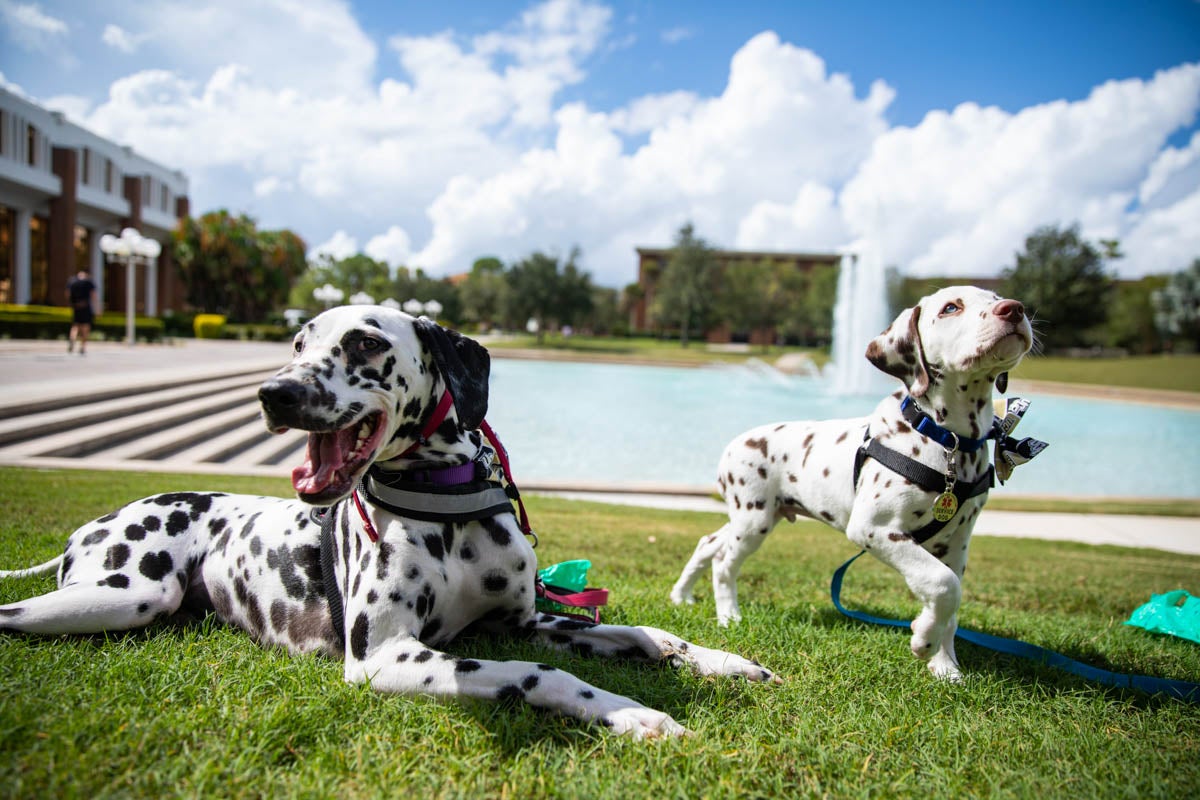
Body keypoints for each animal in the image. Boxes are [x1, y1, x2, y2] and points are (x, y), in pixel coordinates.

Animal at [2, 304, 777, 738]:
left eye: (365, 343)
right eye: (296, 343)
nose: (272, 392)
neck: (445, 500)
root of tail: (93, 523)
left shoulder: (522, 619)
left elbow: (646, 633)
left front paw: (725, 661)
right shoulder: (387, 656)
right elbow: (539, 675)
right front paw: (631, 713)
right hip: (130, 592)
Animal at [672, 284, 1036, 681]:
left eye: (996, 297)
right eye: (951, 308)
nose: (1014, 309)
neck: (947, 440)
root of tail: (734, 445)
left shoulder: (956, 544)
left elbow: (949, 603)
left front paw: (944, 666)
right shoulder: (874, 528)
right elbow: (943, 585)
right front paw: (923, 639)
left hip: (753, 516)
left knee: (708, 543)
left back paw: (682, 595)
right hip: (754, 521)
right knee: (724, 562)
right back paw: (729, 616)